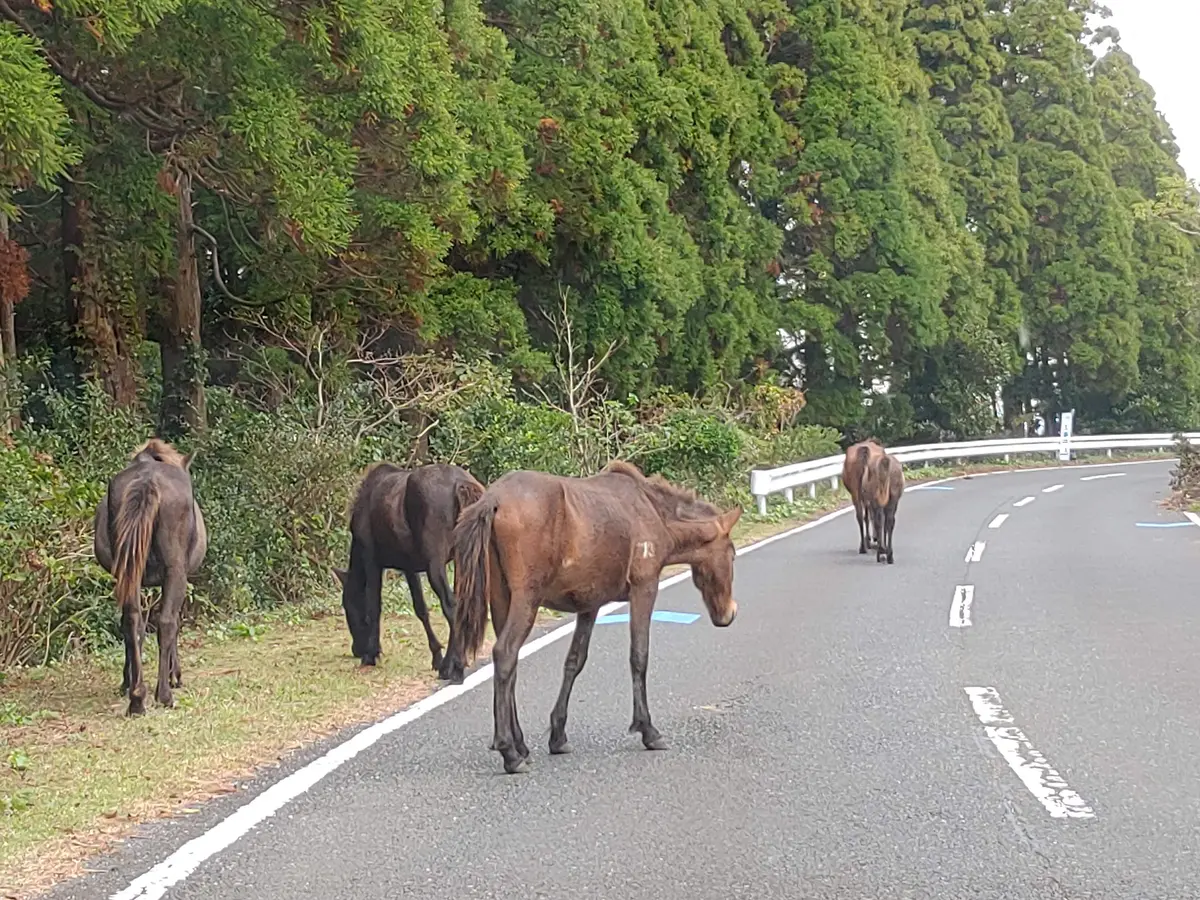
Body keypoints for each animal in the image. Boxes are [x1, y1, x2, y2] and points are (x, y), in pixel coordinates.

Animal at [93, 439, 208, 716]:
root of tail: (147, 480)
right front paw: (174, 675)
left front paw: (127, 682)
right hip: (175, 571)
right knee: (166, 623)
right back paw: (163, 694)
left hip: (129, 571)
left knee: (131, 622)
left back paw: (137, 698)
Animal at [334, 462, 484, 679]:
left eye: (347, 605)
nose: (356, 649)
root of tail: (462, 486)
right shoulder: (409, 566)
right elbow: (421, 608)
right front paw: (436, 657)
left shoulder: (372, 560)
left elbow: (374, 606)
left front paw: (371, 655)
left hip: (436, 561)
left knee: (451, 605)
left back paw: (452, 665)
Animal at [444, 460, 741, 775]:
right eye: (732, 553)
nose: (728, 613)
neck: (655, 514)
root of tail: (493, 499)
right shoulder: (645, 587)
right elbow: (639, 657)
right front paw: (648, 729)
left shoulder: (590, 606)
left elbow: (574, 662)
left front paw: (558, 735)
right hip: (526, 600)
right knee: (505, 654)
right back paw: (509, 752)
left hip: (502, 599)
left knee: (510, 667)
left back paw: (520, 744)